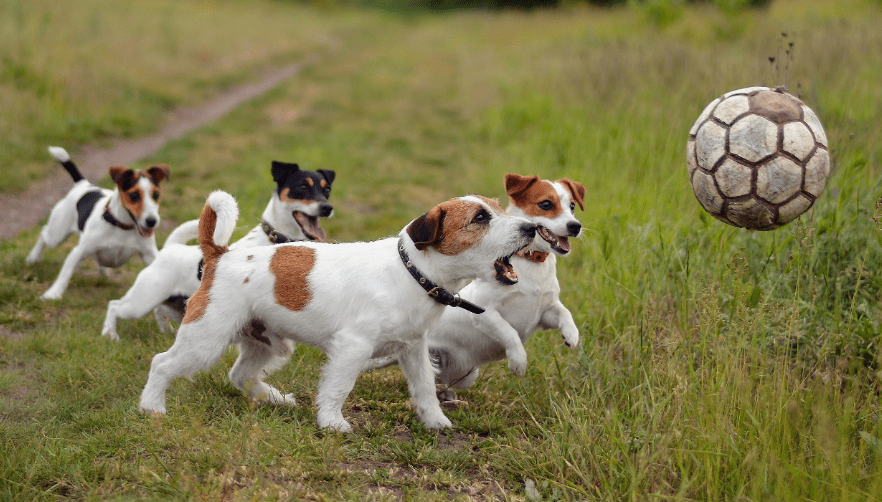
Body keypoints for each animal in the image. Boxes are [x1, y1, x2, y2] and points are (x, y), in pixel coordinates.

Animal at [26, 147, 169, 300]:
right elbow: (65, 274)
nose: (152, 221)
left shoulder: (149, 254)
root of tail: (83, 185)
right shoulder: (79, 252)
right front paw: (53, 293)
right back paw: (33, 257)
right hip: (57, 234)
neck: (122, 226)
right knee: (43, 233)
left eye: (156, 195)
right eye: (134, 196)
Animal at [100, 161, 334, 342]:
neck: (275, 238)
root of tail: (171, 247)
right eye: (302, 187)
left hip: (176, 304)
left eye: (326, 190)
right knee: (115, 306)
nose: (327, 207)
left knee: (160, 310)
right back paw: (110, 334)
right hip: (142, 300)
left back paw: (166, 331)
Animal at [140, 190, 532, 430]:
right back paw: (151, 407)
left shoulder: (414, 349)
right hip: (205, 339)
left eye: (499, 209)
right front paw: (331, 422)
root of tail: (219, 255)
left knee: (240, 374)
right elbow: (339, 387)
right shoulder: (352, 348)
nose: (531, 227)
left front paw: (435, 422)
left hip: (269, 343)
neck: (411, 272)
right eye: (480, 218)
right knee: (162, 363)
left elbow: (424, 387)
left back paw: (274, 399)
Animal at [360, 174, 580, 400]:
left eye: (572, 206)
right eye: (546, 204)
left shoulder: (545, 312)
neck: (534, 270)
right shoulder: (485, 313)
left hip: (465, 376)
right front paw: (518, 361)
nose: (575, 226)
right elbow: (509, 331)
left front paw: (572, 336)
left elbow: (564, 313)